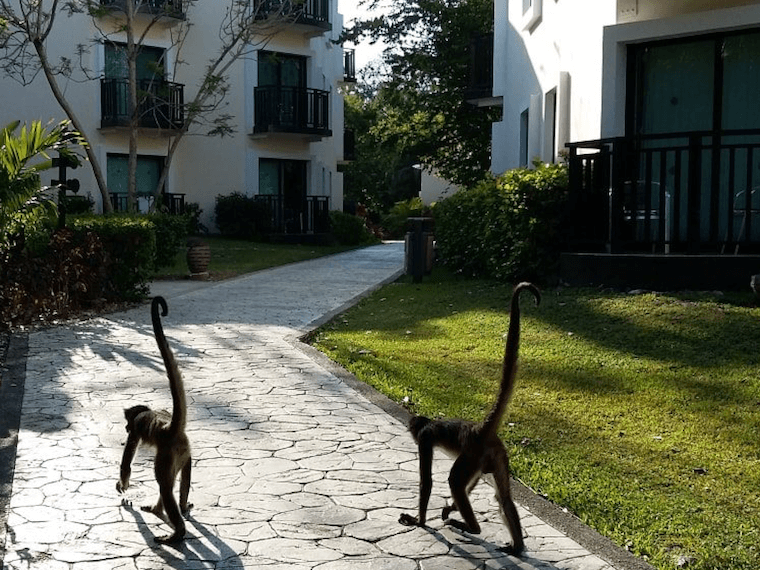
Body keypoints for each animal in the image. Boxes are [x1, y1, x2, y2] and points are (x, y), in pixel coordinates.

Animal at [398, 282, 540, 552]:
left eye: (412, 432)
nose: (409, 435)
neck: (430, 421)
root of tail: (480, 429)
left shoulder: (425, 437)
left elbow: (427, 482)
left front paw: (419, 521)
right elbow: (472, 485)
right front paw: (450, 507)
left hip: (473, 453)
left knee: (455, 481)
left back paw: (473, 528)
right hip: (495, 455)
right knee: (503, 497)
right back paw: (517, 546)